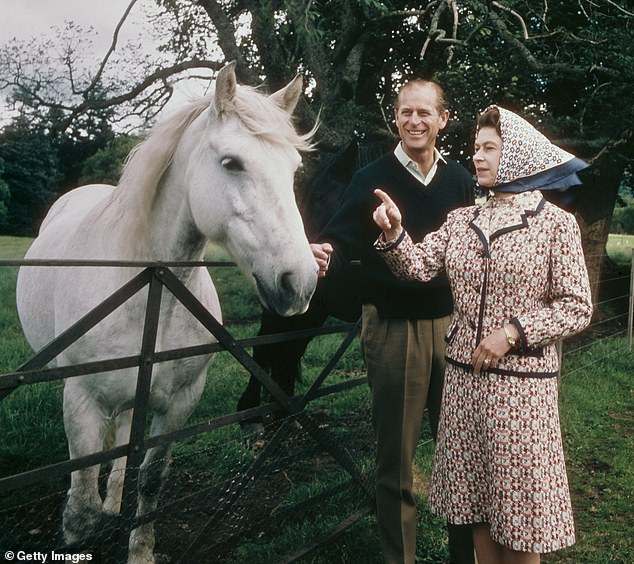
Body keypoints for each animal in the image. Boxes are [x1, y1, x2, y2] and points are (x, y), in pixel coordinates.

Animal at [16, 62, 316, 564]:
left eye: (293, 169)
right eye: (232, 163)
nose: (301, 282)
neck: (153, 291)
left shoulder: (180, 403)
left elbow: (152, 481)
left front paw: (140, 550)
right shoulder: (82, 401)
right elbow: (80, 508)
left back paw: (115, 502)